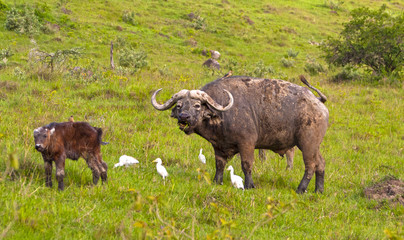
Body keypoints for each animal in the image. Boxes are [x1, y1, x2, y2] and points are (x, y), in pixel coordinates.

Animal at [152, 75, 328, 193]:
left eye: (197, 105)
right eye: (179, 105)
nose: (184, 117)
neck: (223, 113)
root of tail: (319, 104)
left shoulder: (247, 144)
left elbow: (246, 164)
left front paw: (250, 185)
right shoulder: (218, 146)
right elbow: (219, 165)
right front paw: (217, 181)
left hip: (307, 144)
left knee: (310, 166)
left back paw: (301, 189)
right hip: (315, 147)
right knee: (320, 163)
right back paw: (318, 190)